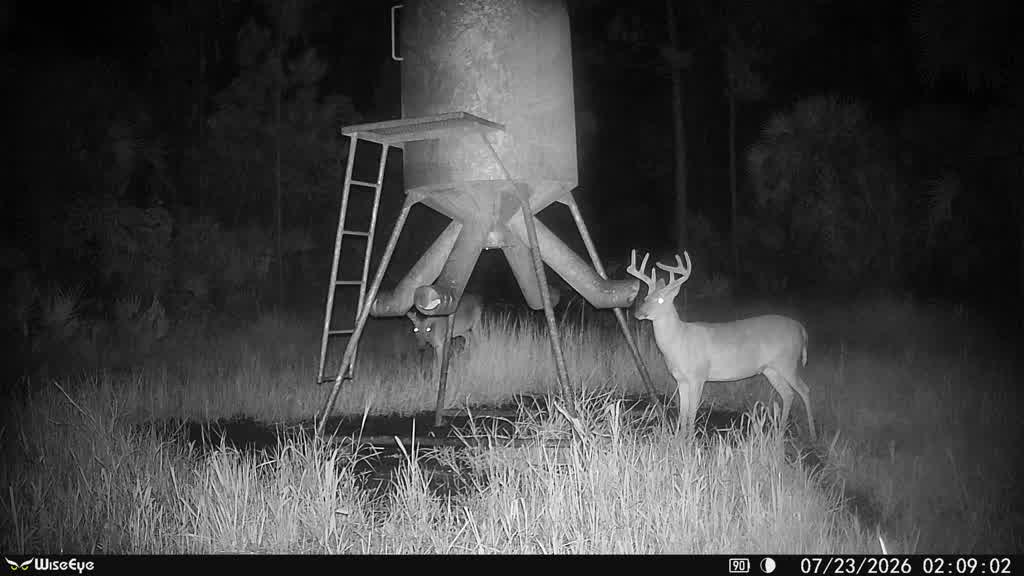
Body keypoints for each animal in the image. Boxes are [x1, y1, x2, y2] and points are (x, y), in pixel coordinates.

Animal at [626, 250, 816, 441]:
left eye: (660, 300)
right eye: (646, 297)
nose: (638, 313)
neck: (679, 341)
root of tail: (801, 329)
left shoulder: (698, 376)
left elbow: (692, 412)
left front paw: (690, 441)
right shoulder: (681, 379)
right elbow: (683, 411)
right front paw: (679, 440)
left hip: (788, 362)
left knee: (805, 390)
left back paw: (812, 435)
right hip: (771, 369)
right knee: (788, 394)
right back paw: (780, 433)